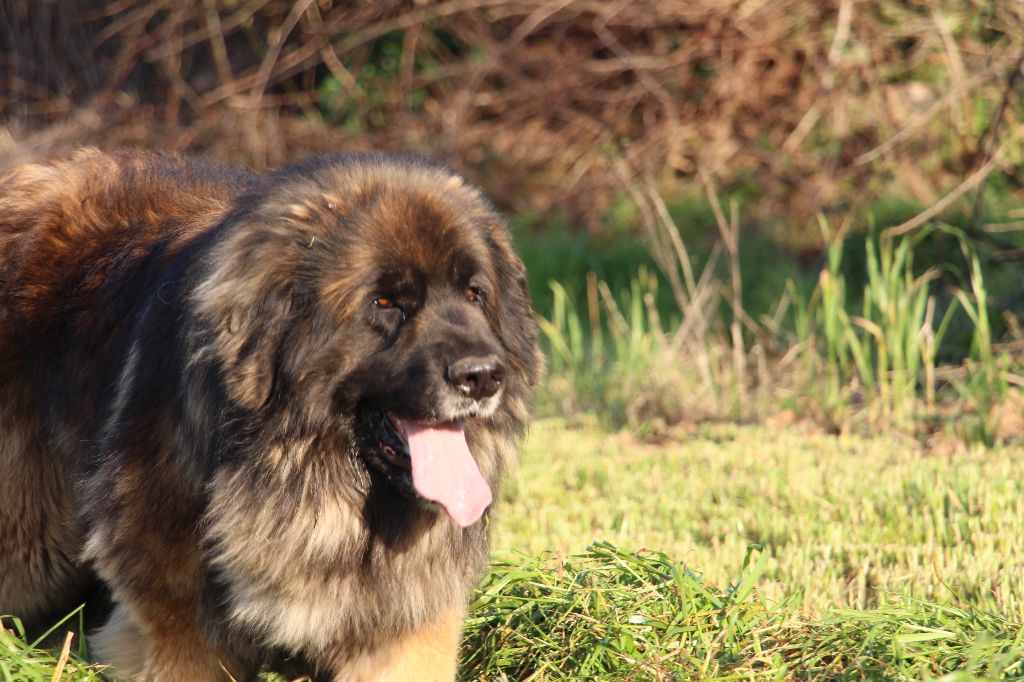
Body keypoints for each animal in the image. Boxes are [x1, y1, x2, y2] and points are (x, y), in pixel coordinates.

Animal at [0, 150, 544, 679]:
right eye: (385, 302)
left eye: (475, 294)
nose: (483, 376)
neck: (308, 481)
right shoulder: (183, 633)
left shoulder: (401, 626)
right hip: (31, 547)